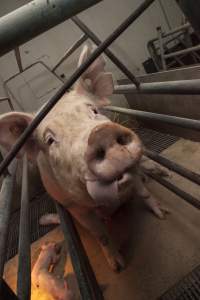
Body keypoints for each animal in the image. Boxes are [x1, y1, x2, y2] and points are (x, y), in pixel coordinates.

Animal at [0, 45, 168, 272]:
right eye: (50, 140)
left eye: (94, 110)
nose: (100, 134)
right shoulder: (73, 206)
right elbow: (100, 234)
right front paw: (117, 267)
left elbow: (144, 192)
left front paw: (163, 214)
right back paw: (45, 219)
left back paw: (161, 173)